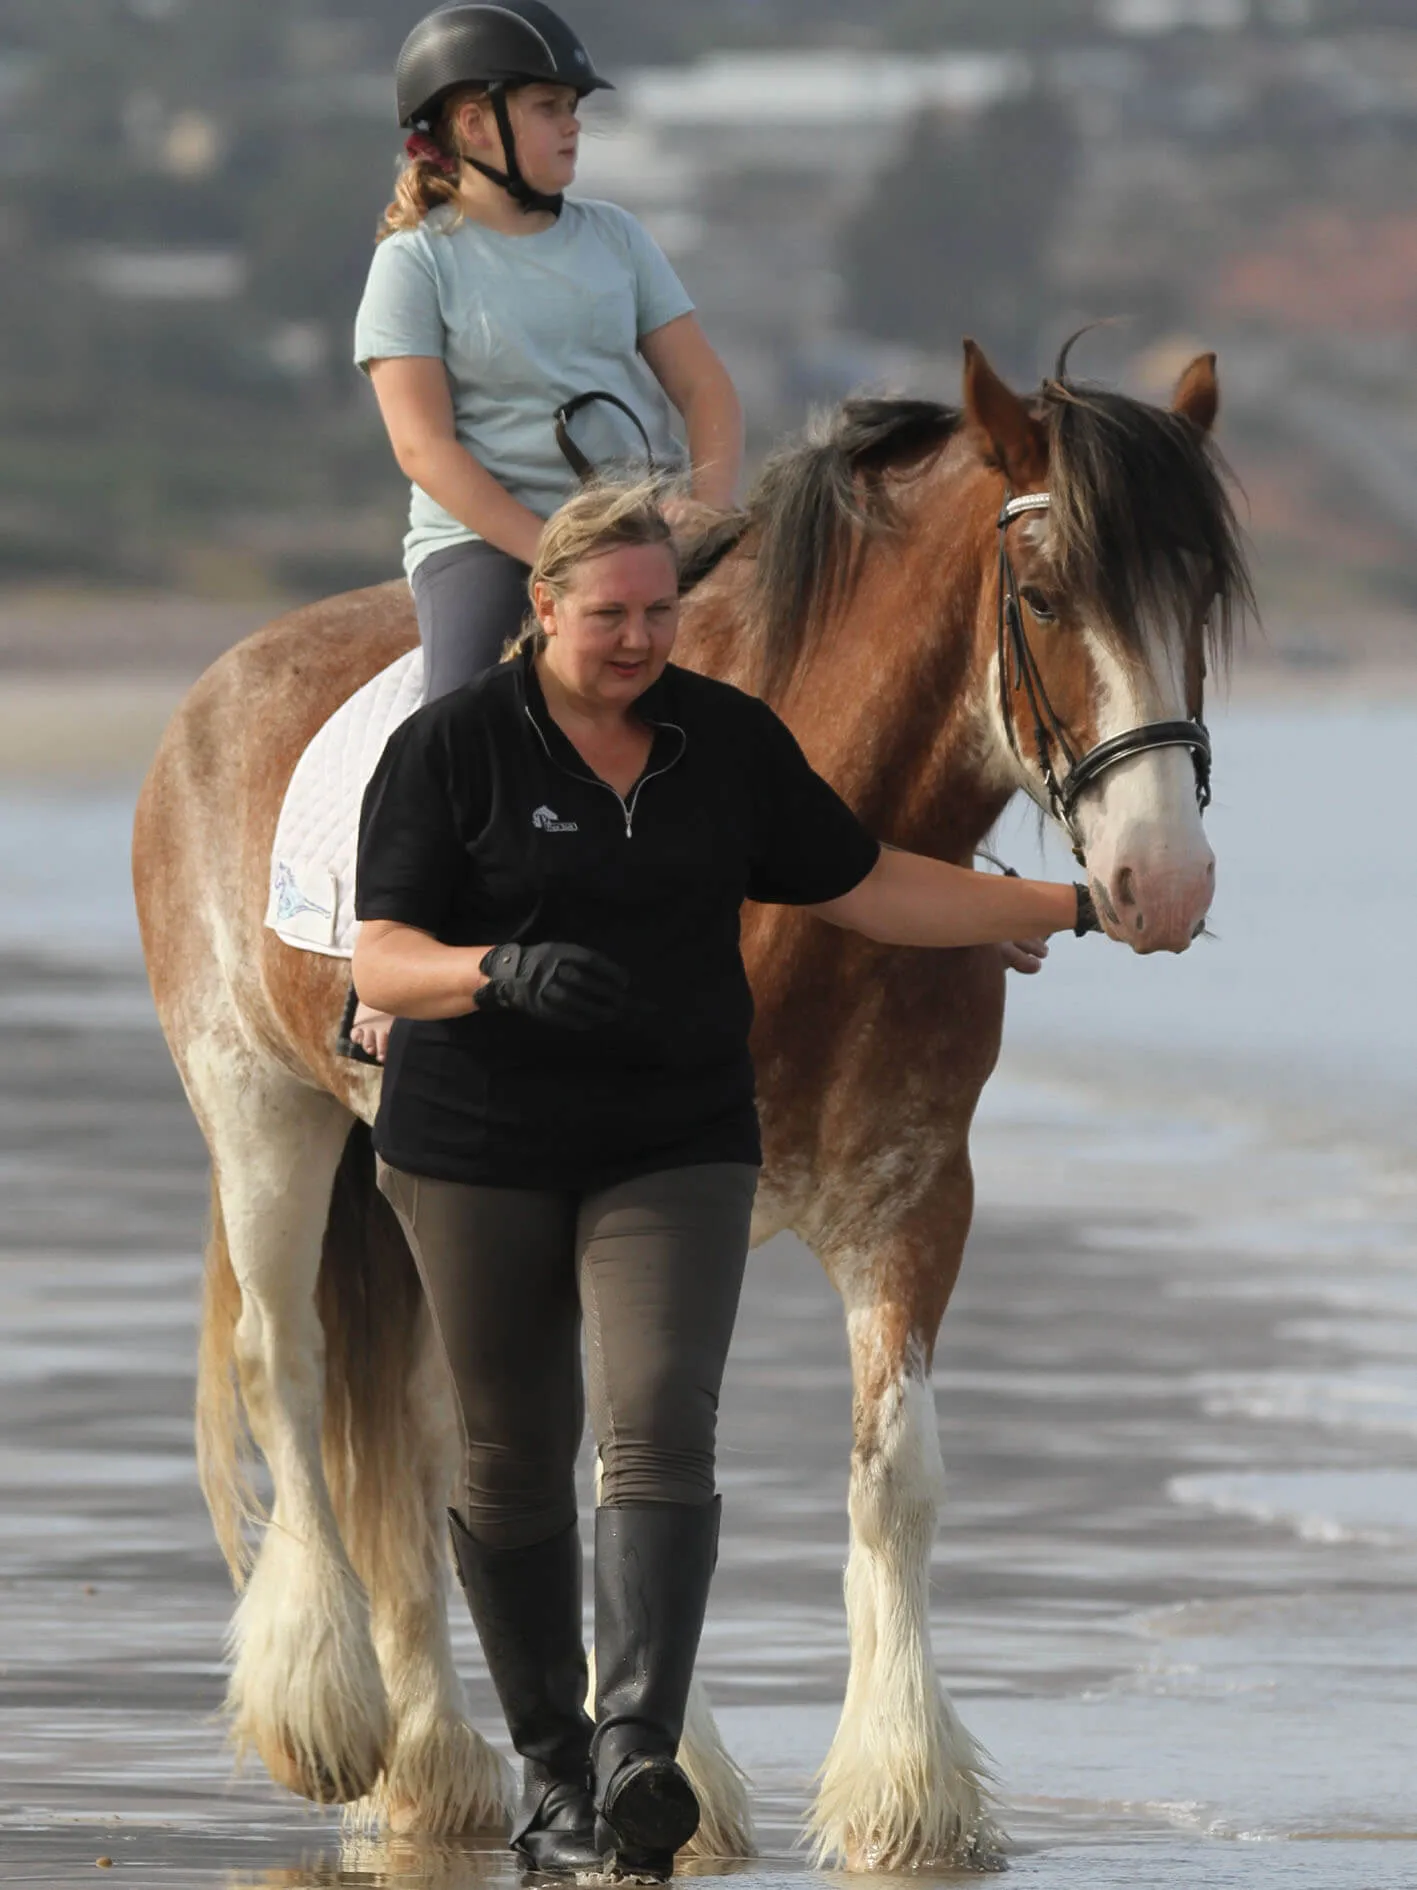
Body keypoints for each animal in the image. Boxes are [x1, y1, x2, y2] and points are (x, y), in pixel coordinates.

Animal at [130, 343, 1239, 1874]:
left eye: (1200, 595)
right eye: (1042, 595)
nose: (1162, 883)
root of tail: (218, 684)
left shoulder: (912, 1200)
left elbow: (881, 1475)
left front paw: (906, 1793)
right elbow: (626, 1461)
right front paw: (682, 1776)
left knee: (412, 1429)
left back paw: (431, 1768)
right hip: (260, 1112)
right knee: (285, 1372)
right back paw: (332, 1717)